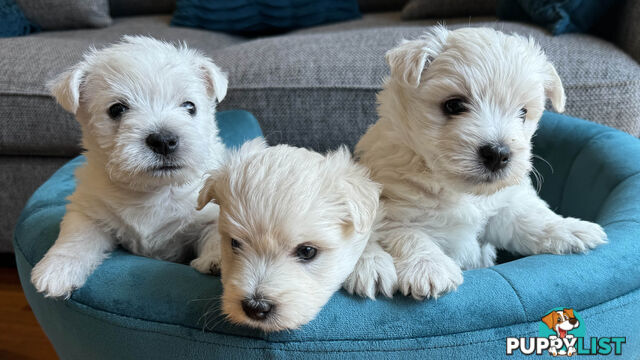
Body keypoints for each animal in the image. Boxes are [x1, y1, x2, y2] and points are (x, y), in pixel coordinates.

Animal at [31, 35, 230, 298]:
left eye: (190, 107)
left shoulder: (209, 211)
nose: (164, 140)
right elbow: (76, 235)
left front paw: (216, 261)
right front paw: (56, 270)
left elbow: (216, 233)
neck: (154, 191)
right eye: (117, 109)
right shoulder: (90, 211)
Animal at [352, 26, 608, 300]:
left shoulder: (502, 211)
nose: (498, 154)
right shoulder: (394, 212)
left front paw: (572, 229)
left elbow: (531, 220)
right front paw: (429, 268)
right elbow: (409, 235)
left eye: (523, 112)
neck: (459, 191)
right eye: (453, 104)